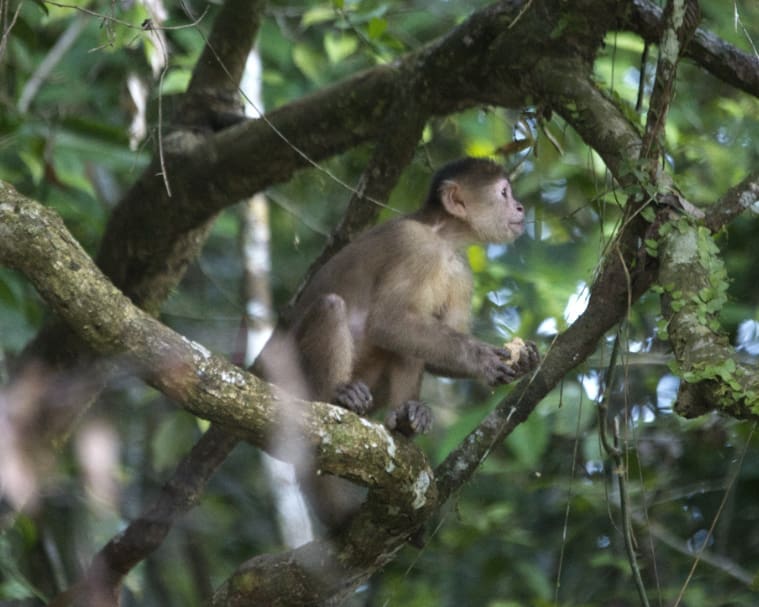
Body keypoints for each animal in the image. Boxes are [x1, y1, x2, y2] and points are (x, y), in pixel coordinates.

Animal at [255, 158, 540, 532]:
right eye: (504, 193)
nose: (520, 207)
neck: (443, 237)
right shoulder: (414, 246)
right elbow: (386, 323)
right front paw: (482, 358)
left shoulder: (461, 271)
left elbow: (425, 347)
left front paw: (522, 362)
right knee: (333, 307)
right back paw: (335, 398)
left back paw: (405, 421)